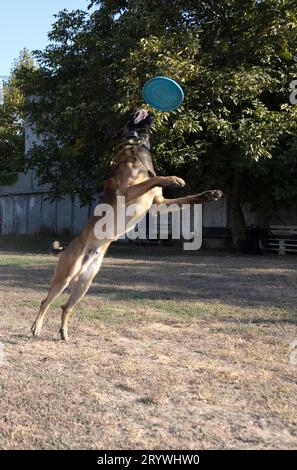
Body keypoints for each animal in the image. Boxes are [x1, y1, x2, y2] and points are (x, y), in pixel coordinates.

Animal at [31, 109, 222, 338]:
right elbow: (153, 178)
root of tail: (70, 248)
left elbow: (187, 198)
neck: (136, 146)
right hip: (66, 276)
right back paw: (36, 327)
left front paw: (209, 194)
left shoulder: (159, 203)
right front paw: (174, 178)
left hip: (85, 283)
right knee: (45, 301)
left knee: (65, 307)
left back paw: (63, 332)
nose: (143, 109)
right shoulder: (127, 191)